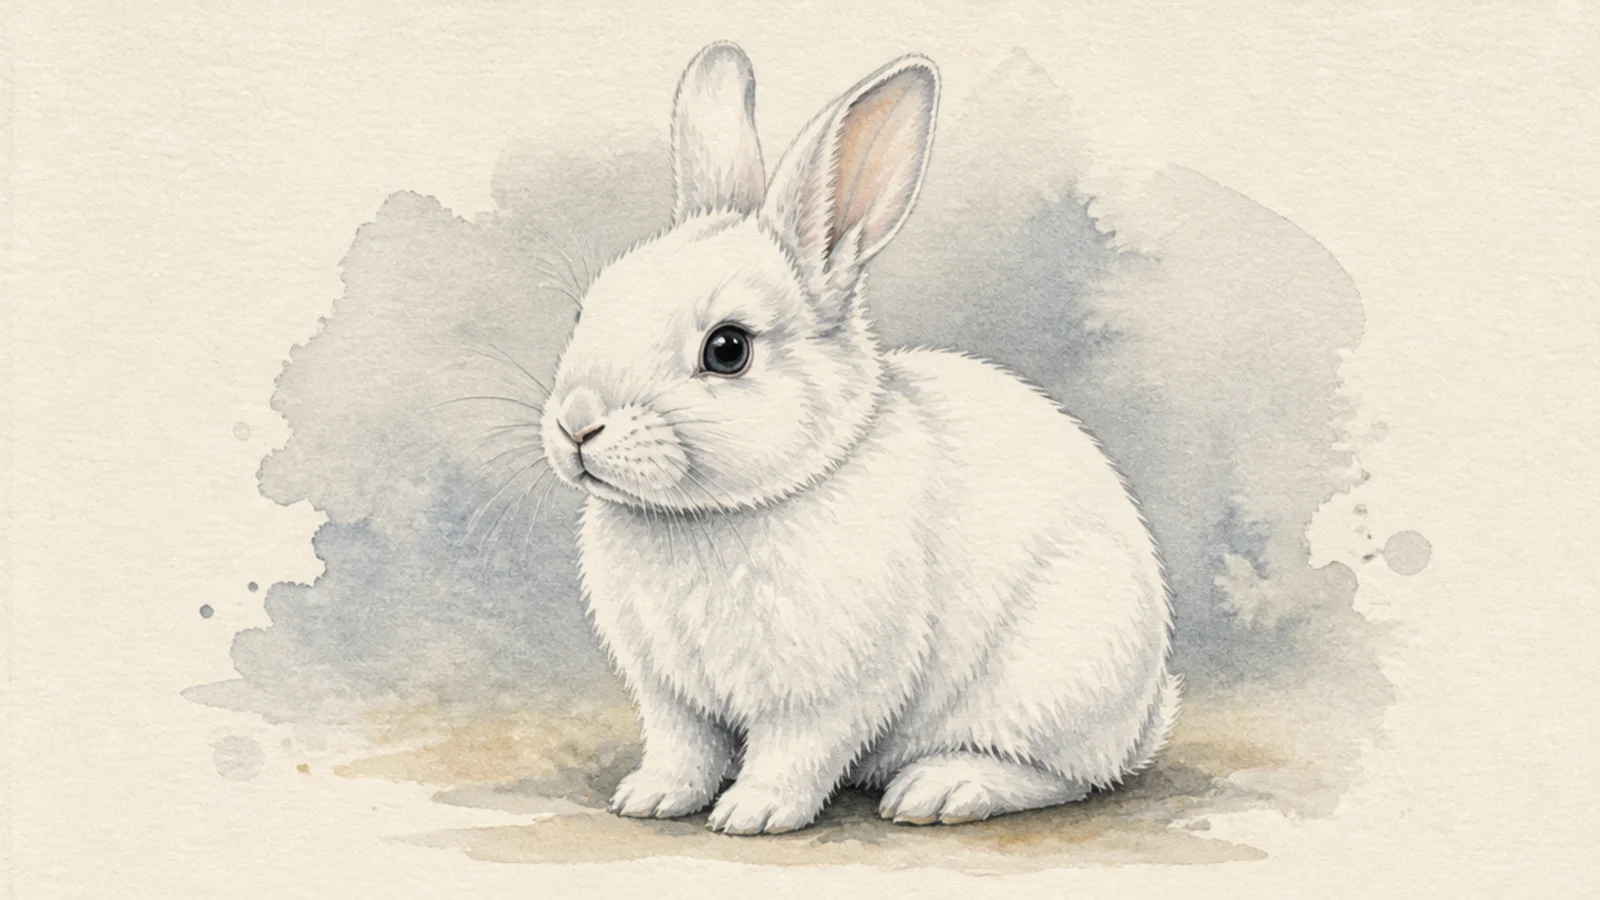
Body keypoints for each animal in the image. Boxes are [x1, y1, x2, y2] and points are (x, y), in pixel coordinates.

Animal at [537, 41, 1180, 835]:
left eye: (728, 349)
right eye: (585, 311)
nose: (576, 424)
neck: (716, 513)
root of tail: (1147, 714)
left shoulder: (827, 689)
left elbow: (796, 749)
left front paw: (753, 813)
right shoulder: (670, 691)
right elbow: (682, 747)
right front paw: (651, 799)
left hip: (1059, 667)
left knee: (1064, 775)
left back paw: (941, 790)